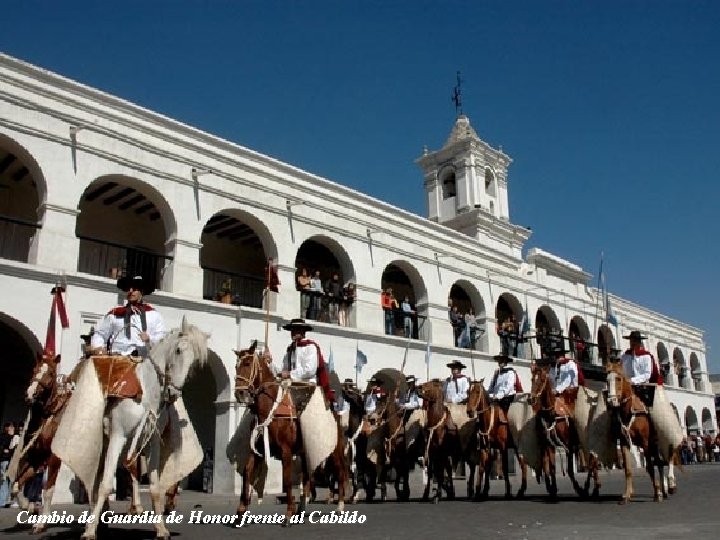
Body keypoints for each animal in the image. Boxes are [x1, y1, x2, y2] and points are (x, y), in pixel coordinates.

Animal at [67, 316, 208, 540]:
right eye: (178, 350)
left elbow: (155, 487)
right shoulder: (118, 436)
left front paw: (161, 529)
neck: (146, 393)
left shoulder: (152, 442)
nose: (173, 393)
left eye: (195, 361)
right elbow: (106, 484)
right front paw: (89, 531)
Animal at [235, 342, 348, 524]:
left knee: (340, 473)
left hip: (335, 451)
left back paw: (340, 507)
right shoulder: (257, 450)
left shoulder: (286, 451)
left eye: (247, 363)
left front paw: (288, 513)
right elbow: (246, 474)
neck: (270, 409)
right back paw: (301, 509)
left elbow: (287, 480)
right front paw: (240, 512)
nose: (240, 393)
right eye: (236, 366)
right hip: (305, 452)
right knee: (308, 477)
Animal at [528, 362, 584, 498]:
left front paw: (578, 488)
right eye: (532, 379)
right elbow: (550, 467)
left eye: (542, 380)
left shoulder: (568, 444)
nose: (531, 399)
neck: (551, 414)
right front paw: (552, 488)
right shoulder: (548, 445)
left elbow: (569, 469)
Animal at [608, 360, 676, 504]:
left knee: (669, 458)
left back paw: (671, 485)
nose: (611, 401)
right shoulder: (624, 442)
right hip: (654, 444)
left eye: (618, 379)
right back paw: (664, 490)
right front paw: (627, 495)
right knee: (660, 464)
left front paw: (656, 493)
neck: (630, 411)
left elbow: (649, 466)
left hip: (665, 439)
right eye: (607, 379)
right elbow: (628, 469)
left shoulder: (645, 442)